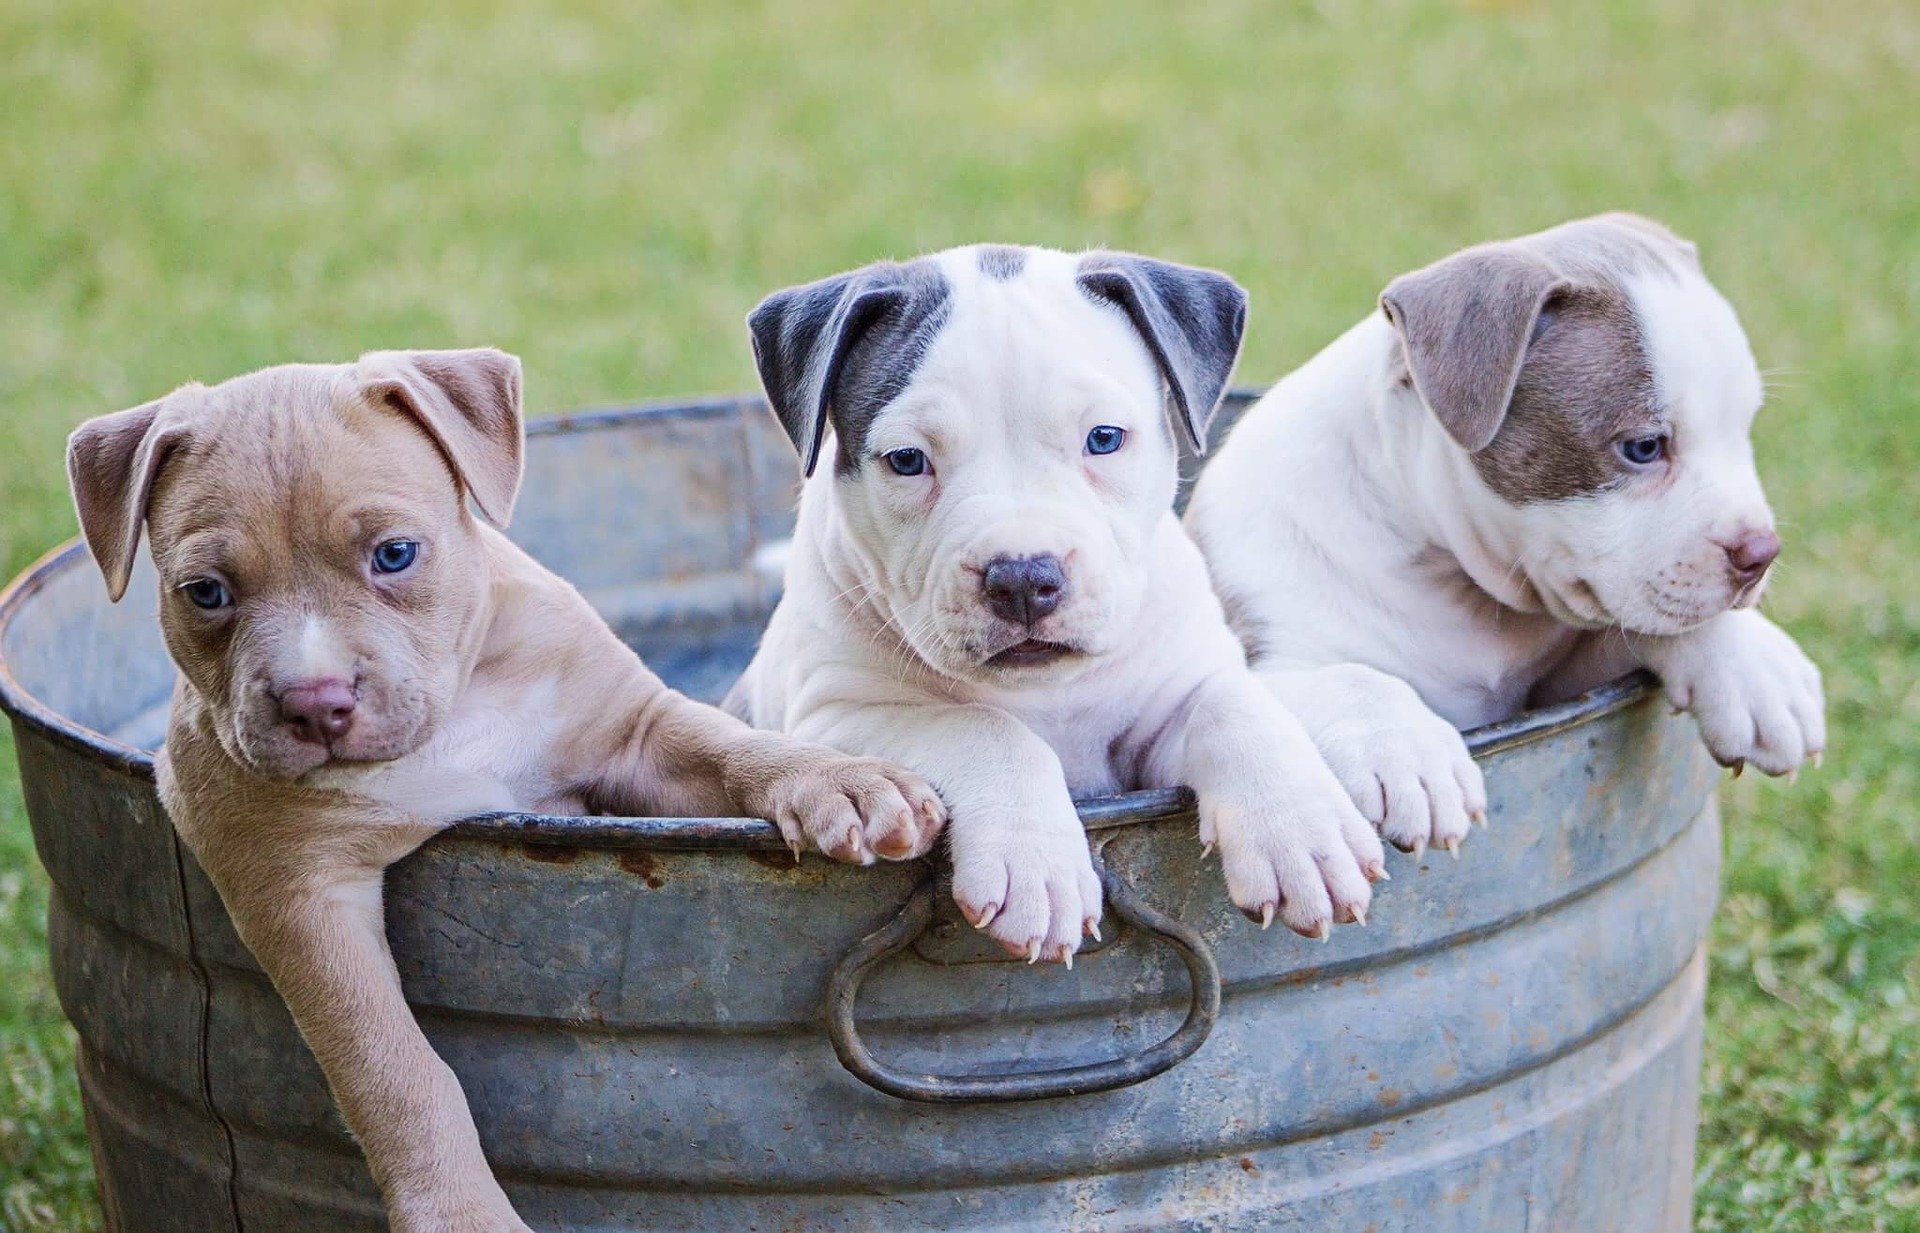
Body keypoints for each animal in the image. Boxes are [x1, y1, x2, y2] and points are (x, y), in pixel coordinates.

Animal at [67, 347, 944, 1229]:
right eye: (206, 593)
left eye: (395, 554)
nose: (316, 703)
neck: (454, 714)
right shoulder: (298, 892)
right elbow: (393, 1067)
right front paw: (459, 1212)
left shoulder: (636, 736)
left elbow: (733, 748)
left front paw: (842, 781)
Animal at [725, 241, 1390, 960]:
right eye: (906, 460)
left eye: (1104, 438)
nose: (1021, 576)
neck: (1046, 690)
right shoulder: (836, 717)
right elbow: (985, 727)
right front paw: (1036, 867)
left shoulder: (1166, 708)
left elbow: (1232, 704)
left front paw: (1300, 828)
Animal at [1182, 213, 1827, 852]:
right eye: (1644, 447)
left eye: (1744, 428)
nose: (1762, 553)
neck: (1454, 583)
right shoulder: (1267, 653)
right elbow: (1349, 679)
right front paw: (1408, 752)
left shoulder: (1567, 683)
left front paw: (1757, 666)